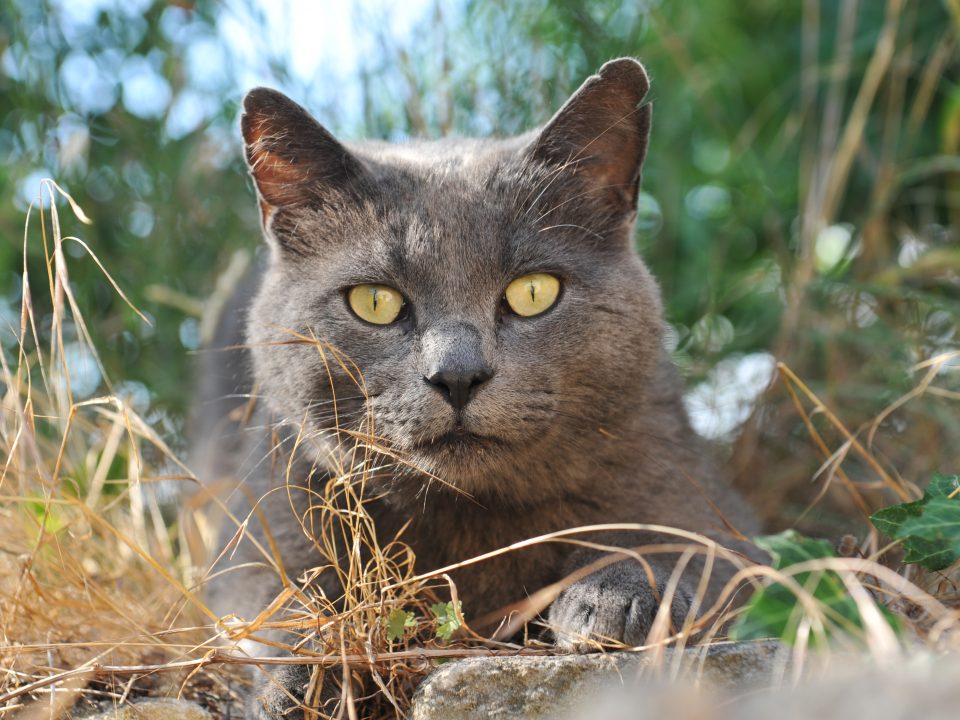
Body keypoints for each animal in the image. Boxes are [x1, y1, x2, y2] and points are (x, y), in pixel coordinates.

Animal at [195, 57, 760, 720]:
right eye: (374, 302)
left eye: (534, 292)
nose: (457, 374)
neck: (473, 525)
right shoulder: (266, 515)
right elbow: (281, 604)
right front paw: (304, 681)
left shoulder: (704, 500)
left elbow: (683, 546)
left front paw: (614, 599)